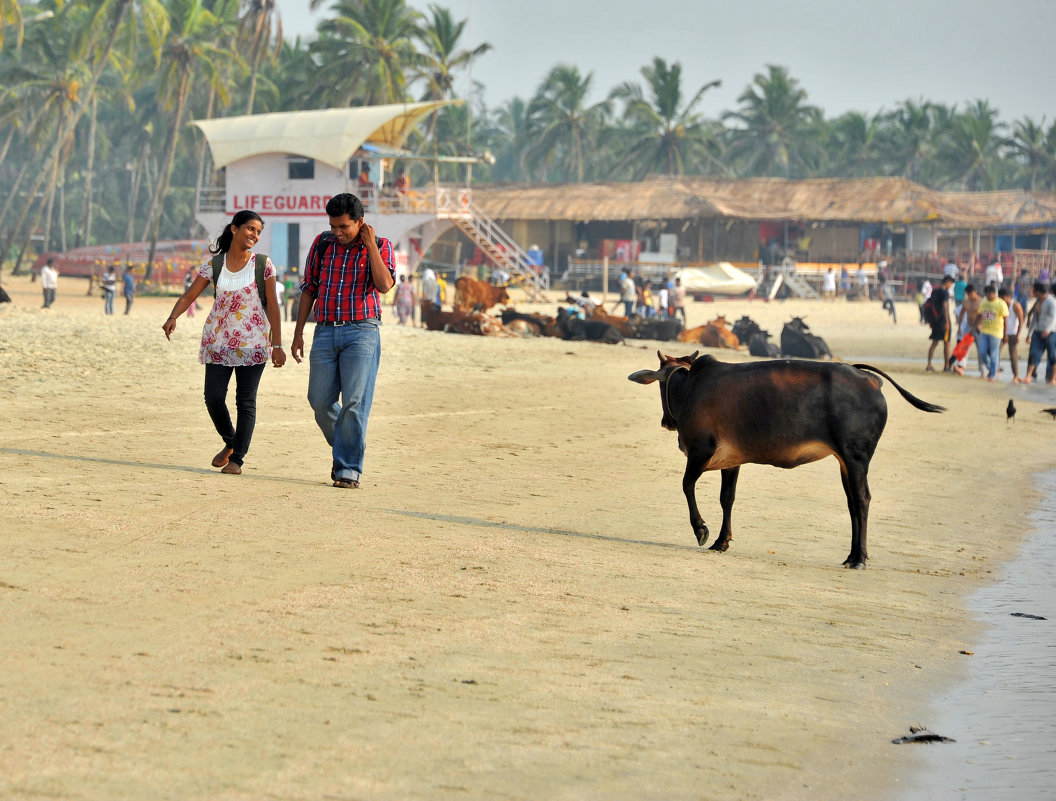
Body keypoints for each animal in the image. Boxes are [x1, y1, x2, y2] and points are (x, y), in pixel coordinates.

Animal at [629, 352, 946, 569]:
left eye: (660, 387)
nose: (665, 422)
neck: (690, 387)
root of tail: (868, 378)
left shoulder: (700, 451)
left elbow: (687, 486)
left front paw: (701, 531)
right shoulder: (732, 460)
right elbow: (727, 498)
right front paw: (722, 540)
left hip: (856, 457)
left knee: (862, 500)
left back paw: (859, 559)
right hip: (845, 462)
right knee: (852, 503)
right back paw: (852, 556)